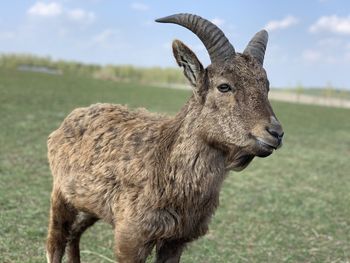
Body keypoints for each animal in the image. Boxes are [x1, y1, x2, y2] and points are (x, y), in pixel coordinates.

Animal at [45, 13, 284, 263]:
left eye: (266, 87)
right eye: (224, 86)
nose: (275, 133)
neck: (165, 165)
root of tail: (71, 118)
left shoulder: (176, 240)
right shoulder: (131, 238)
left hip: (90, 204)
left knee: (75, 234)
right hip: (61, 194)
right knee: (56, 241)